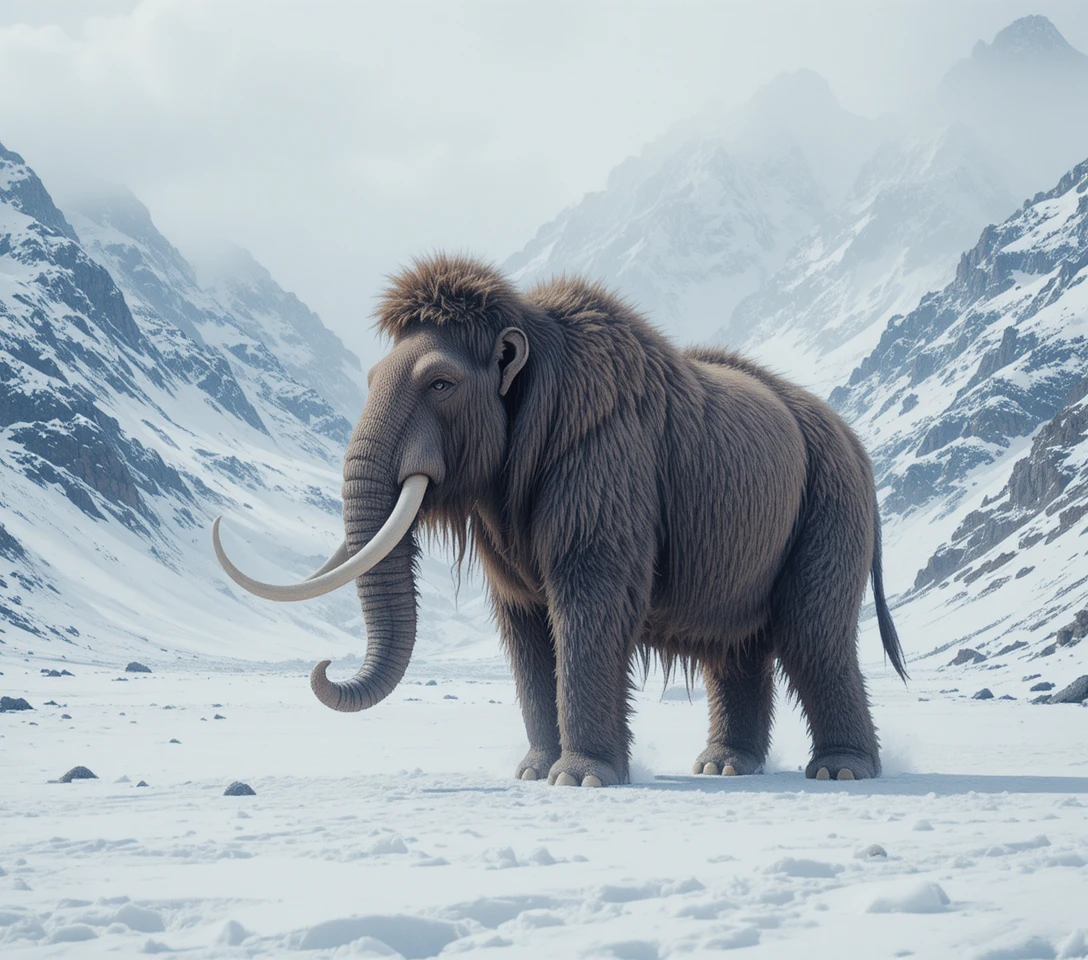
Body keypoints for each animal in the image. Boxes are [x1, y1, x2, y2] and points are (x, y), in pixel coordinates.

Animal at [214, 253, 907, 787]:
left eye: (440, 383)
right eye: (369, 377)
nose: (325, 665)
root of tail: (856, 446)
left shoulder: (604, 469)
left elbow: (589, 600)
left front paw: (579, 779)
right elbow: (524, 621)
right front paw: (532, 773)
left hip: (831, 508)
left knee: (814, 631)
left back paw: (841, 771)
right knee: (737, 649)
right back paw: (724, 767)